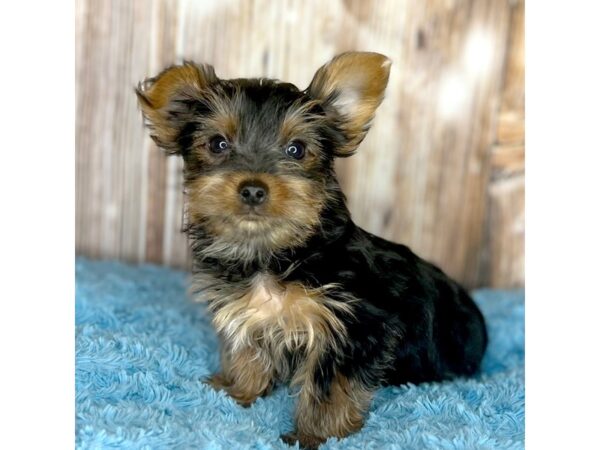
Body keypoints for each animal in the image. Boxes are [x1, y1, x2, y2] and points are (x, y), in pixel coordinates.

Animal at [136, 53, 488, 450]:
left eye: (296, 149)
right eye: (217, 144)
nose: (253, 189)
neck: (278, 253)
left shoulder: (357, 327)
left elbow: (330, 387)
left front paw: (314, 434)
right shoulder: (248, 311)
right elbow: (247, 351)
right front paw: (236, 390)